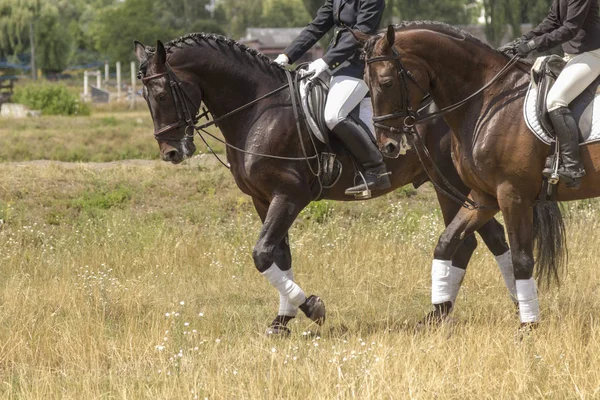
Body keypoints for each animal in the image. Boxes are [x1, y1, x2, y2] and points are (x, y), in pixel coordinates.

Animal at [134, 33, 512, 334]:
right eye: (145, 97)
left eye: (163, 94)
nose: (171, 152)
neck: (259, 110)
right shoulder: (263, 199)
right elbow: (280, 256)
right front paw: (281, 321)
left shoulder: (289, 195)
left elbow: (262, 254)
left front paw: (312, 308)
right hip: (447, 186)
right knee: (479, 239)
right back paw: (452, 311)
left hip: (452, 183)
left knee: (472, 239)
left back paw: (451, 311)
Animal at [358, 22, 576, 324]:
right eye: (365, 83)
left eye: (387, 82)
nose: (387, 146)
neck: (489, 101)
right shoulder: (485, 195)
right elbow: (448, 241)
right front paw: (439, 308)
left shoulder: (513, 194)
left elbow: (521, 259)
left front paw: (528, 326)